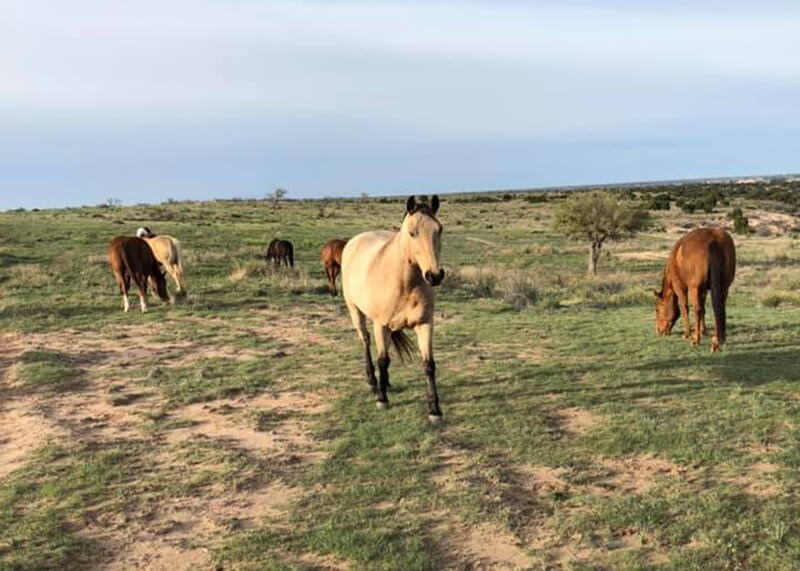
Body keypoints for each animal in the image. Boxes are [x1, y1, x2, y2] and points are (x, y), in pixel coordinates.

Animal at [340, 196, 446, 420]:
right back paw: (373, 382)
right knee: (365, 341)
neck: (405, 284)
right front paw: (382, 399)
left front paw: (434, 409)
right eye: (412, 232)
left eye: (439, 230)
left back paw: (385, 382)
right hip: (356, 312)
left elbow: (429, 365)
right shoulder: (381, 325)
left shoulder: (425, 324)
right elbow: (383, 360)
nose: (434, 276)